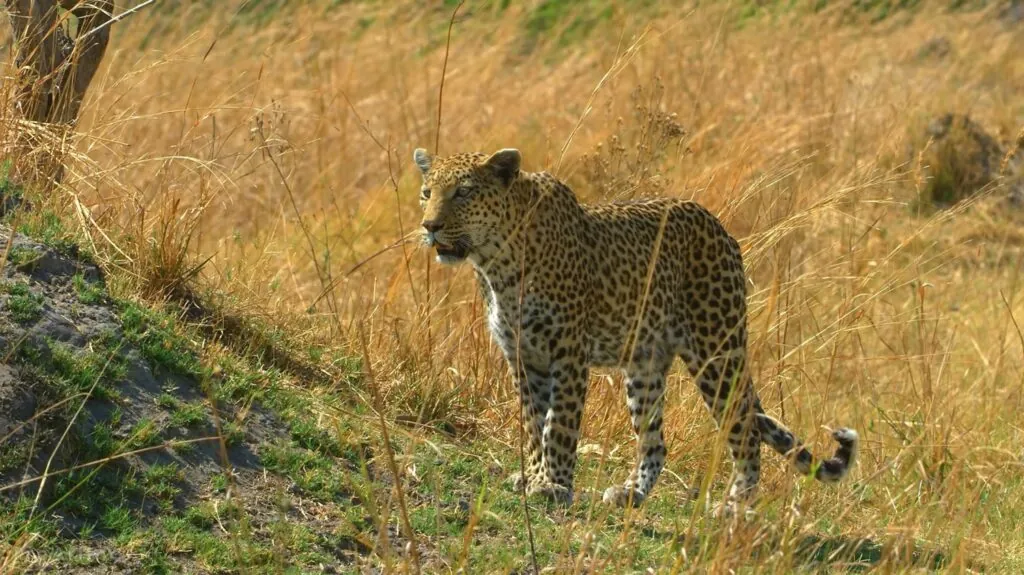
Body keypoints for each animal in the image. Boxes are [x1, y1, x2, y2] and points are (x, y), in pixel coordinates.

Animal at [411, 145, 860, 511]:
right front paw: (534, 476)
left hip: (717, 351)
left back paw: (733, 506)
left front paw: (555, 484)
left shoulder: (568, 354)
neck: (497, 263)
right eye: (427, 193)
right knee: (655, 441)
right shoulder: (523, 357)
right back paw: (632, 493)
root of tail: (721, 229)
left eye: (464, 192)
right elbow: (533, 424)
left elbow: (560, 425)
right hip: (645, 364)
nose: (430, 227)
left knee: (745, 430)